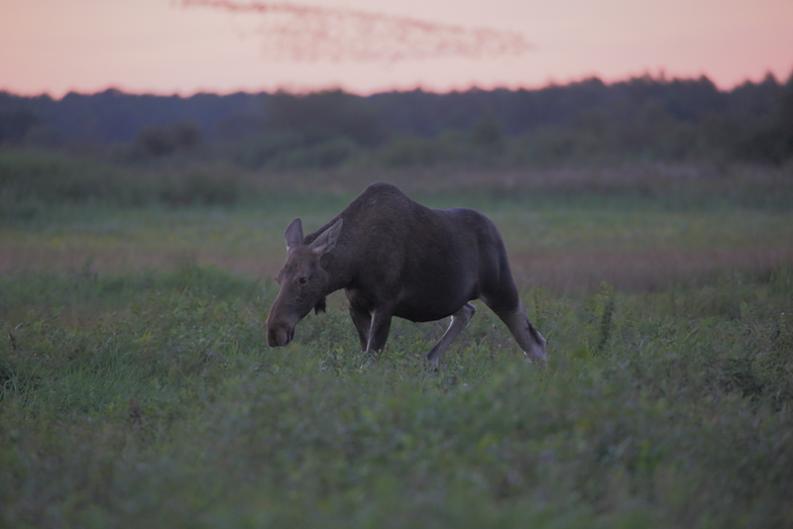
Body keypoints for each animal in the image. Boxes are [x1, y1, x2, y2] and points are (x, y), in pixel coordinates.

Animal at [266, 184, 544, 366]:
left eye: (303, 279)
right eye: (278, 277)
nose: (274, 331)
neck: (353, 266)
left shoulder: (385, 304)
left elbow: (371, 360)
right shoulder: (357, 305)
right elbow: (365, 356)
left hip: (501, 289)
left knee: (535, 344)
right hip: (453, 297)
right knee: (467, 311)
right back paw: (431, 361)